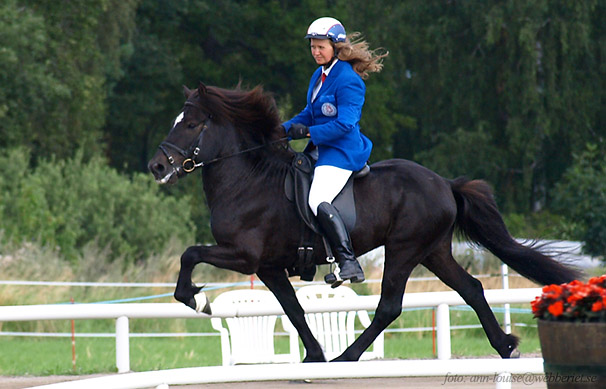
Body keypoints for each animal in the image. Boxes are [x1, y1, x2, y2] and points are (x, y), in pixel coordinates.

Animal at [150, 82, 580, 360]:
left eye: (191, 124)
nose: (156, 167)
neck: (247, 180)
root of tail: (444, 183)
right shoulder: (269, 267)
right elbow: (293, 310)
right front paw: (314, 357)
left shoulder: (244, 255)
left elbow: (190, 254)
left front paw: (197, 298)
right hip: (433, 251)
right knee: (472, 289)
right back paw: (505, 346)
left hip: (404, 249)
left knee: (390, 306)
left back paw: (348, 356)